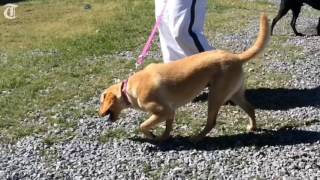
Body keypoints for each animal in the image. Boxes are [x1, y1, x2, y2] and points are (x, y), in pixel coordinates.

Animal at [100, 14, 270, 142]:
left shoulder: (162, 111)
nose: (99, 114)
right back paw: (252, 127)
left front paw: (151, 135)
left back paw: (197, 138)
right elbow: (167, 128)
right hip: (235, 93)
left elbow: (142, 125)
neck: (128, 90)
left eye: (101, 101)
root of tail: (236, 57)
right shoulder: (170, 112)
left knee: (211, 122)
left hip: (215, 96)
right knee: (250, 108)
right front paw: (163, 138)